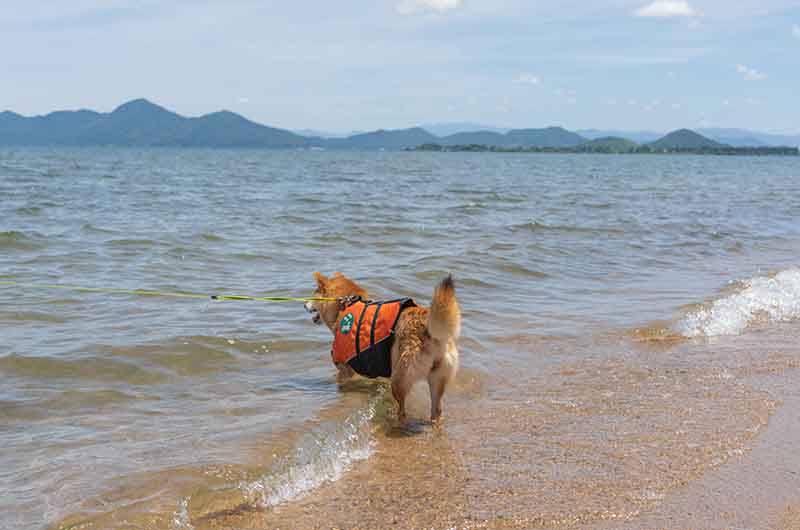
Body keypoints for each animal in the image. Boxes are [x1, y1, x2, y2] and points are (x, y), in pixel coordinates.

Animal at [304, 272, 460, 420]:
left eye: (313, 294)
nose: (304, 304)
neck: (345, 306)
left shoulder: (345, 370)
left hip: (400, 378)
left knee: (403, 411)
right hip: (436, 379)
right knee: (436, 411)